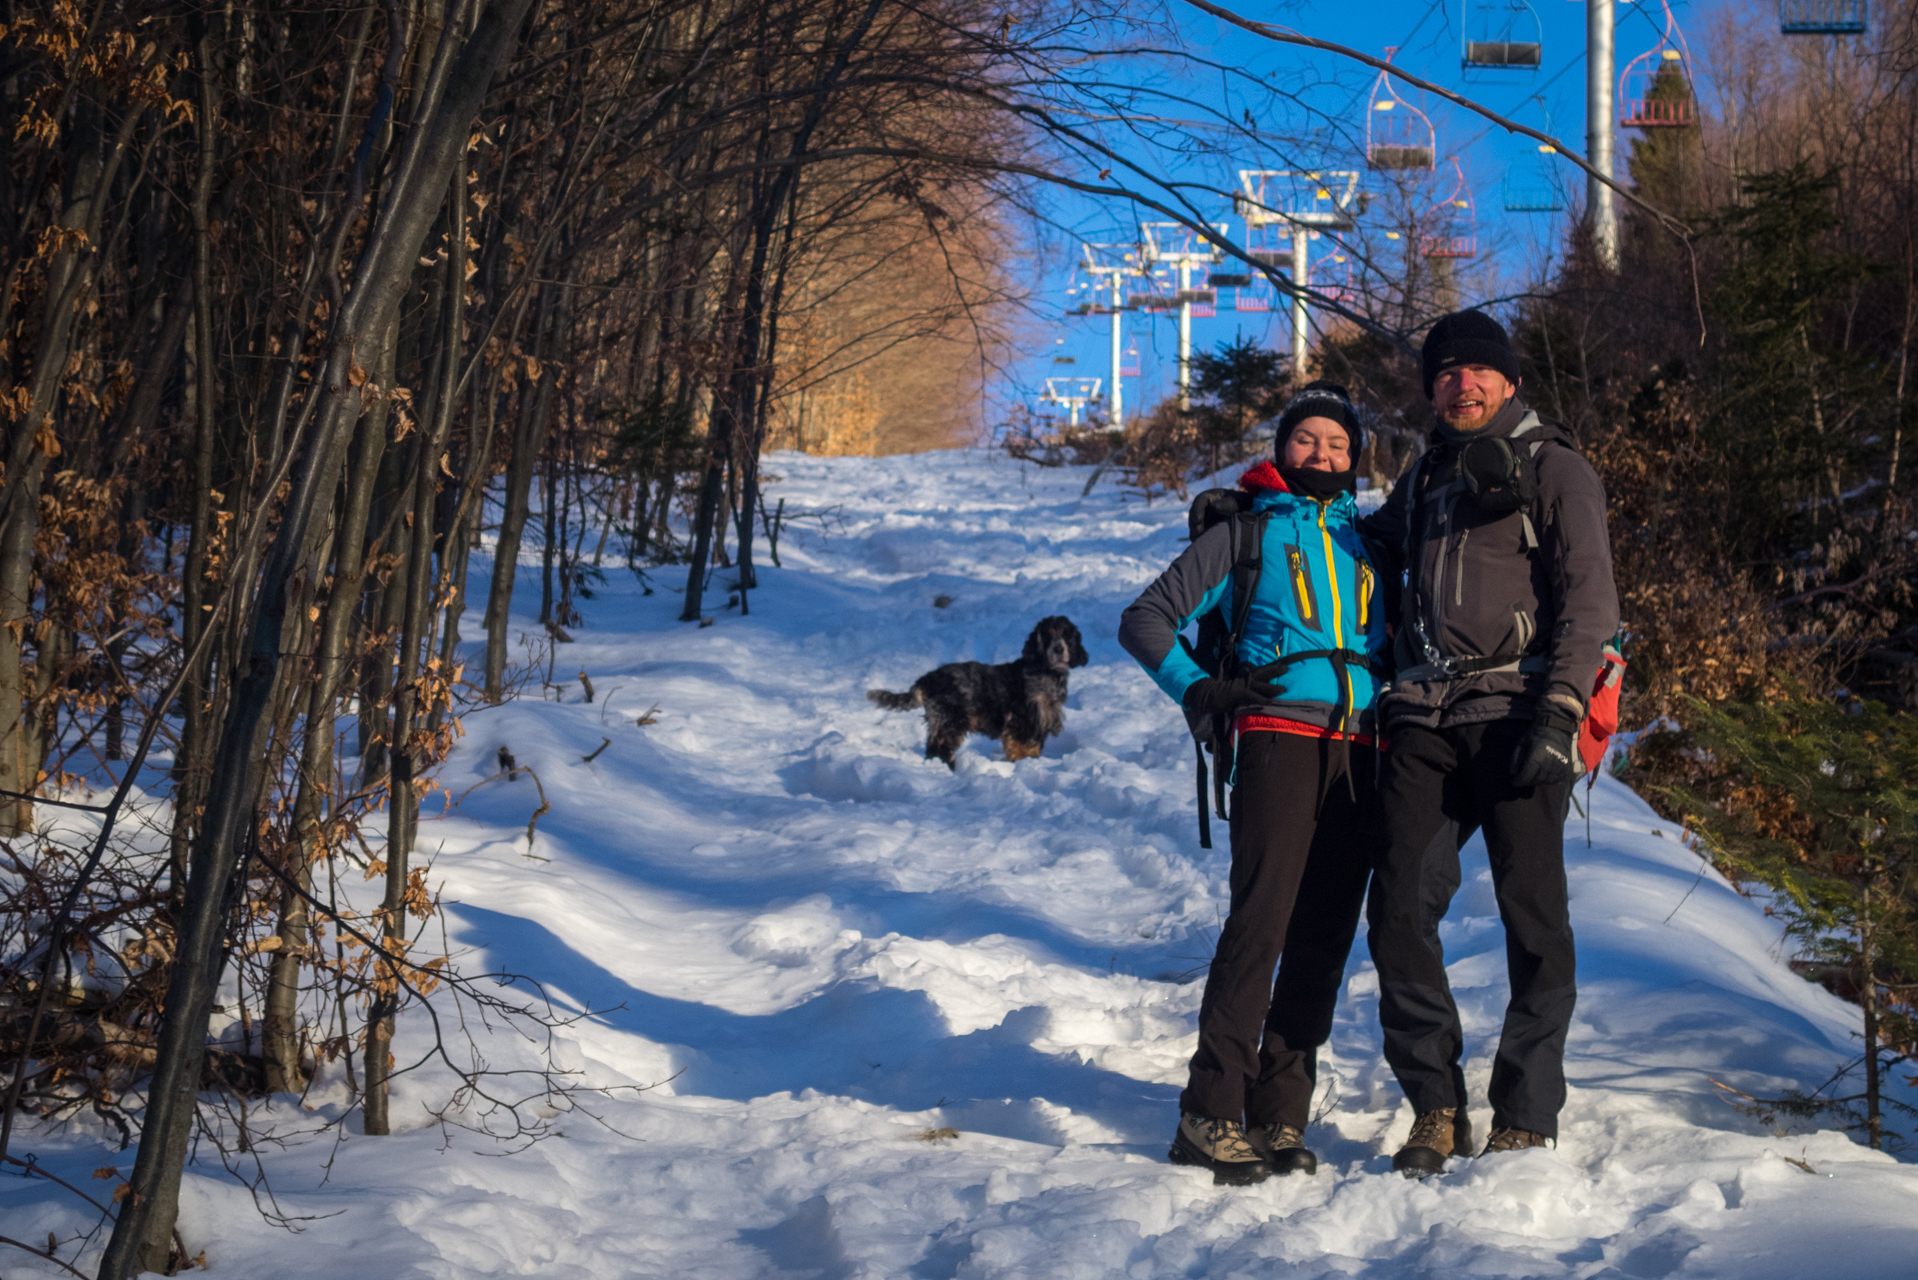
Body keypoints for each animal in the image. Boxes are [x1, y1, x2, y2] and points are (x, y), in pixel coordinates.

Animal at [874, 614, 1089, 767]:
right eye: (1048, 635)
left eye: (1067, 635)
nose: (1059, 649)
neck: (1047, 672)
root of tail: (928, 677)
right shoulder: (1022, 722)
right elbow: (1021, 750)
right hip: (948, 720)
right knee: (938, 749)